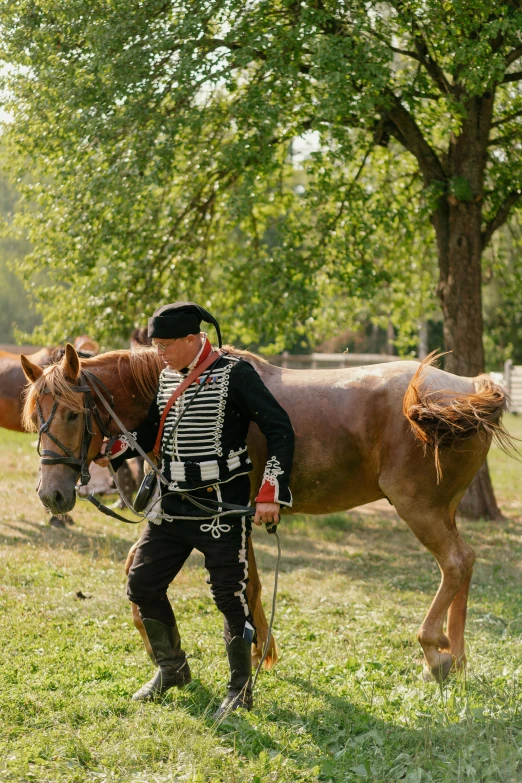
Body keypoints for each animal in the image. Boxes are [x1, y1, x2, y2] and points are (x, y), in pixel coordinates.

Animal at [20, 344, 512, 680]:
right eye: (35, 416)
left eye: (70, 413)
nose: (52, 494)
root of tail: (468, 388)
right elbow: (230, 581)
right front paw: (252, 650)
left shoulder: (226, 517)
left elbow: (245, 585)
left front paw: (254, 652)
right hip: (442, 509)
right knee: (464, 565)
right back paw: (457, 655)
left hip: (418, 507)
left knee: (455, 562)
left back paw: (435, 652)